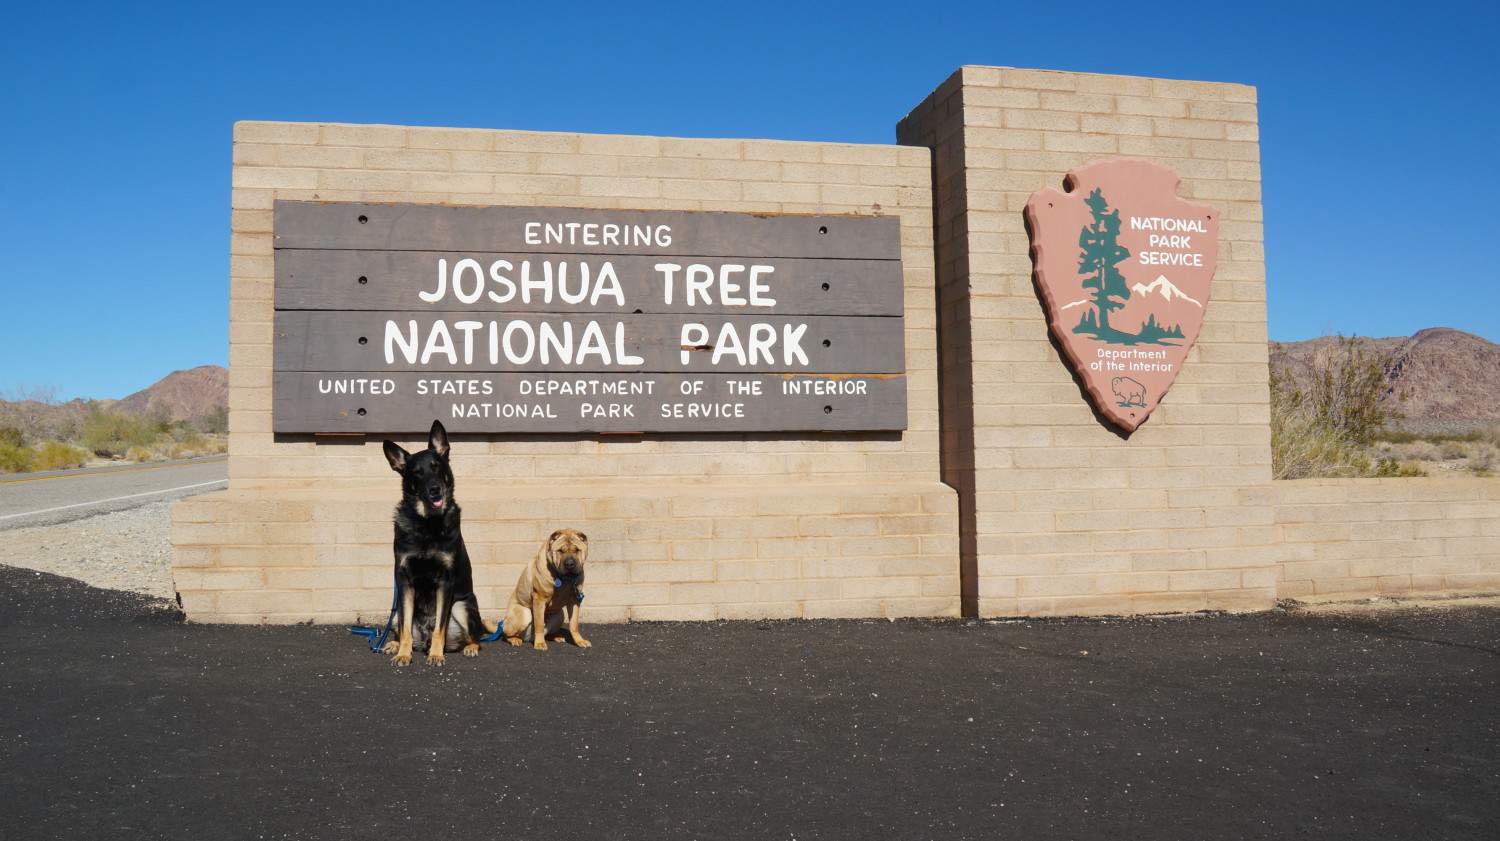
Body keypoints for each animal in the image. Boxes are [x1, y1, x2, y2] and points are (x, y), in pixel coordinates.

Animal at [381, 416, 498, 662]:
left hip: (462, 606)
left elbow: (440, 628)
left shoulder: (446, 580)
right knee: (402, 625)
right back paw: (394, 644)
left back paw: (469, 647)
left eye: (437, 467)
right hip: (396, 611)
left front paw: (436, 655)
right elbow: (405, 628)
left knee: (474, 636)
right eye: (417, 473)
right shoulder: (403, 580)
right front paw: (404, 654)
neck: (427, 524)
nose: (435, 490)